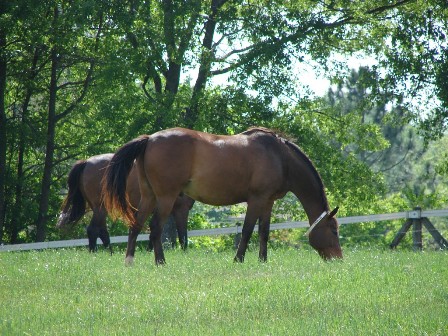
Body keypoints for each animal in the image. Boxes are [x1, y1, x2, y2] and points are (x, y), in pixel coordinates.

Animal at [57, 152, 194, 252]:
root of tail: (86, 162)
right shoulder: (181, 209)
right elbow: (182, 234)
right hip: (100, 208)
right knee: (93, 230)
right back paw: (95, 252)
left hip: (100, 209)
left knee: (102, 231)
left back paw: (110, 253)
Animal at [104, 126, 344, 266]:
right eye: (333, 230)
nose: (338, 259)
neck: (280, 157)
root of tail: (150, 139)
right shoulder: (256, 200)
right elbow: (247, 230)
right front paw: (238, 259)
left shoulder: (268, 202)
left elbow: (264, 232)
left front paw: (263, 260)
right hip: (166, 197)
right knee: (155, 228)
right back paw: (161, 262)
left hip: (149, 196)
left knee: (136, 225)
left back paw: (129, 261)